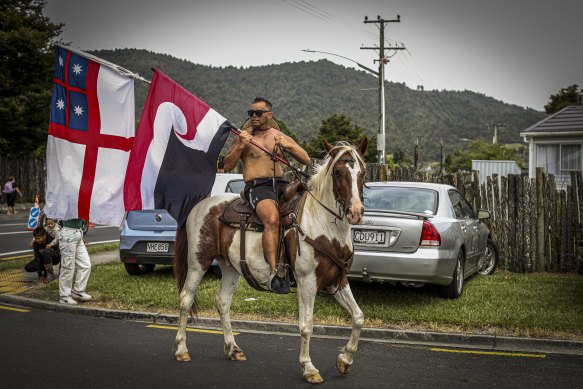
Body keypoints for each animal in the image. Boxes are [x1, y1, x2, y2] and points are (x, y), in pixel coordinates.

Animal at [171, 136, 370, 382]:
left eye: (362, 172)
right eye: (338, 171)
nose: (355, 212)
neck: (323, 224)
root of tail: (199, 205)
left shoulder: (337, 281)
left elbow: (358, 317)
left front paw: (345, 360)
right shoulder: (307, 282)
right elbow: (307, 325)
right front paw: (309, 368)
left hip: (230, 267)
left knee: (223, 301)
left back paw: (233, 349)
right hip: (198, 261)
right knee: (186, 299)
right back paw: (181, 349)